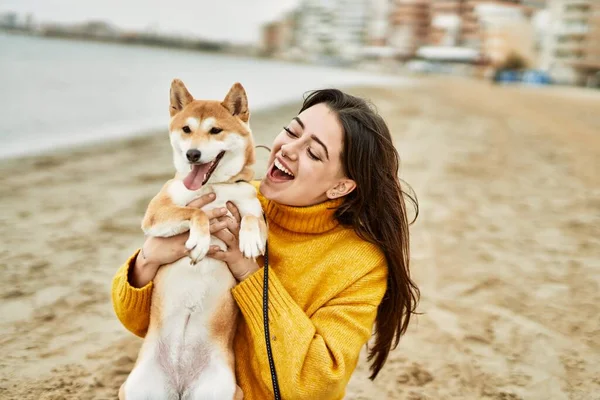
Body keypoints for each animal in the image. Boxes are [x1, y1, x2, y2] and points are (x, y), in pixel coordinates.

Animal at [119, 79, 264, 398]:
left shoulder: (252, 206)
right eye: (186, 129)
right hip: (137, 389)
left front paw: (249, 240)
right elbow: (196, 212)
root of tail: (179, 385)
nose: (193, 155)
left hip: (221, 389)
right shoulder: (157, 213)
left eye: (215, 130)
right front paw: (200, 240)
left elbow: (251, 219)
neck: (215, 187)